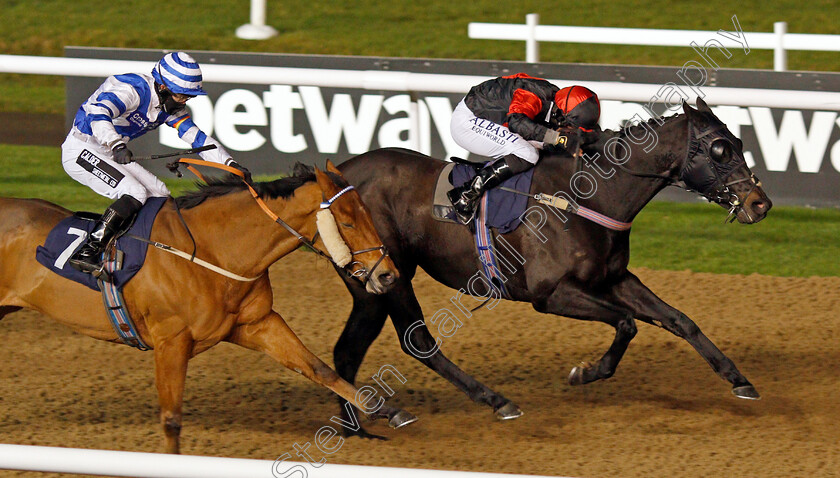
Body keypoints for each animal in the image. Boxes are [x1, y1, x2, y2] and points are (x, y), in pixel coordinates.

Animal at [0, 161, 416, 452]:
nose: (388, 275)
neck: (210, 251)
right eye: (347, 221)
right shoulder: (171, 342)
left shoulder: (257, 323)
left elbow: (318, 368)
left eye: (368, 213)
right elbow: (171, 419)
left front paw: (387, 410)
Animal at [330, 99, 776, 436]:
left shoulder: (614, 278)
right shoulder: (551, 293)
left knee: (347, 351)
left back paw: (356, 428)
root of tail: (339, 172)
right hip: (391, 275)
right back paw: (495, 401)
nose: (761, 203)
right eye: (719, 149)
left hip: (373, 285)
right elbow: (627, 323)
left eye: (739, 140)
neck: (590, 195)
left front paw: (739, 379)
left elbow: (680, 320)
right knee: (417, 342)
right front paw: (585, 372)